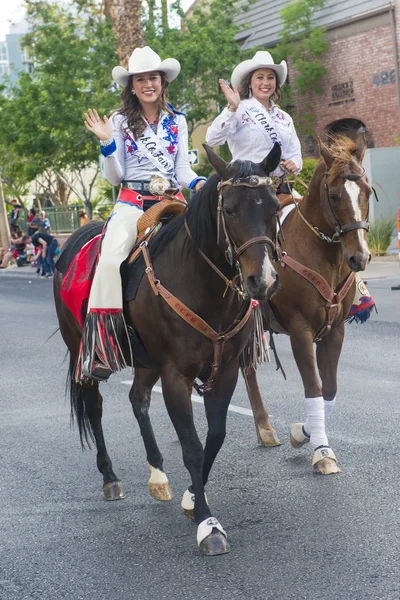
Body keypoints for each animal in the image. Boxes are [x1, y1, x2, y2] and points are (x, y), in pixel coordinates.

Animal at [54, 143, 282, 556]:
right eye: (229, 210)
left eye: (274, 207)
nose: (263, 280)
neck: (199, 282)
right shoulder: (176, 376)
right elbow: (191, 446)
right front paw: (208, 524)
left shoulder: (224, 371)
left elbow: (215, 437)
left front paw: (193, 499)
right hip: (83, 349)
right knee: (94, 406)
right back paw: (110, 477)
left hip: (147, 362)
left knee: (138, 398)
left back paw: (158, 475)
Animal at [247, 134, 372, 476]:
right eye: (334, 195)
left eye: (368, 192)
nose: (359, 257)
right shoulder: (300, 329)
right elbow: (313, 387)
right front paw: (322, 451)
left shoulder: (335, 330)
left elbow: (328, 389)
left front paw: (303, 433)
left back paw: (266, 429)